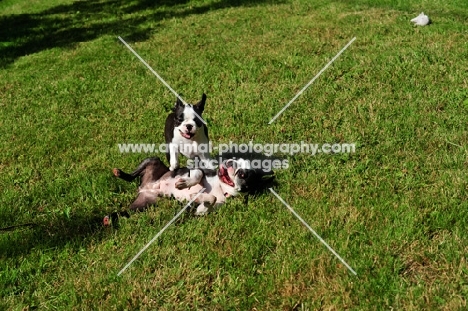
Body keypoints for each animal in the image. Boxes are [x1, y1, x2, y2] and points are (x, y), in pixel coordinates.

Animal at [107, 156, 274, 219]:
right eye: (236, 159)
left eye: (243, 174)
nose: (230, 162)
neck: (221, 187)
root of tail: (143, 188)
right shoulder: (197, 169)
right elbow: (198, 175)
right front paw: (183, 184)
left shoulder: (201, 211)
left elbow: (211, 200)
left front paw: (199, 197)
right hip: (152, 161)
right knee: (132, 176)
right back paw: (120, 173)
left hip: (143, 206)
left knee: (125, 213)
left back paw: (109, 218)